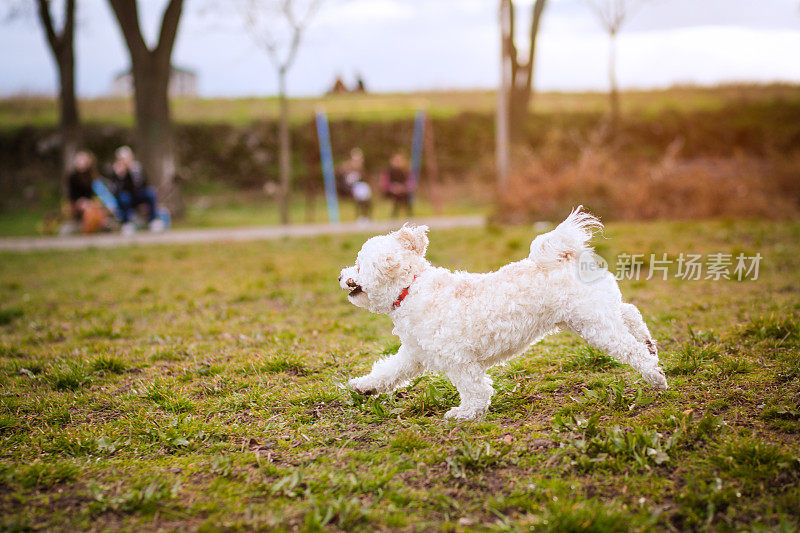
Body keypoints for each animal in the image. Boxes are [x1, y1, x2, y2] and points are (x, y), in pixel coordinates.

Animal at [338, 208, 668, 420]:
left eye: (359, 264)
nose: (341, 275)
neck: (411, 289)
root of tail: (569, 256)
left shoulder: (459, 360)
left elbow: (475, 390)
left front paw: (466, 413)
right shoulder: (414, 353)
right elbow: (388, 371)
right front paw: (364, 387)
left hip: (594, 324)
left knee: (629, 347)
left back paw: (655, 375)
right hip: (595, 312)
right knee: (630, 313)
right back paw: (649, 344)